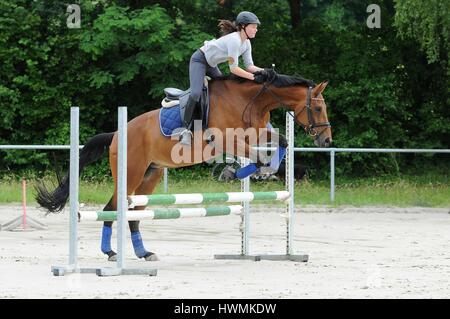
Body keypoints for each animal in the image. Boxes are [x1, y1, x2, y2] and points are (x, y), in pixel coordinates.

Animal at [36, 73, 330, 262]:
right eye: (317, 108)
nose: (326, 140)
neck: (250, 100)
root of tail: (117, 134)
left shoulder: (255, 135)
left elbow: (280, 143)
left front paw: (263, 171)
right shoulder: (227, 139)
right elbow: (257, 156)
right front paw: (236, 172)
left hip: (150, 176)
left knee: (134, 214)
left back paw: (144, 253)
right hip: (130, 174)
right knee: (112, 208)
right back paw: (110, 253)